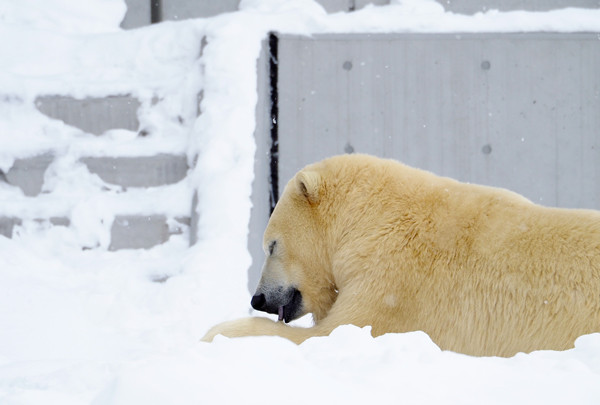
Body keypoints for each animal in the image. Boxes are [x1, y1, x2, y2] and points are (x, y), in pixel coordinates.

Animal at [204, 153, 600, 356]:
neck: (372, 220)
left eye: (271, 245)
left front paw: (216, 332)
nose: (257, 299)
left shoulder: (394, 285)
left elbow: (333, 335)